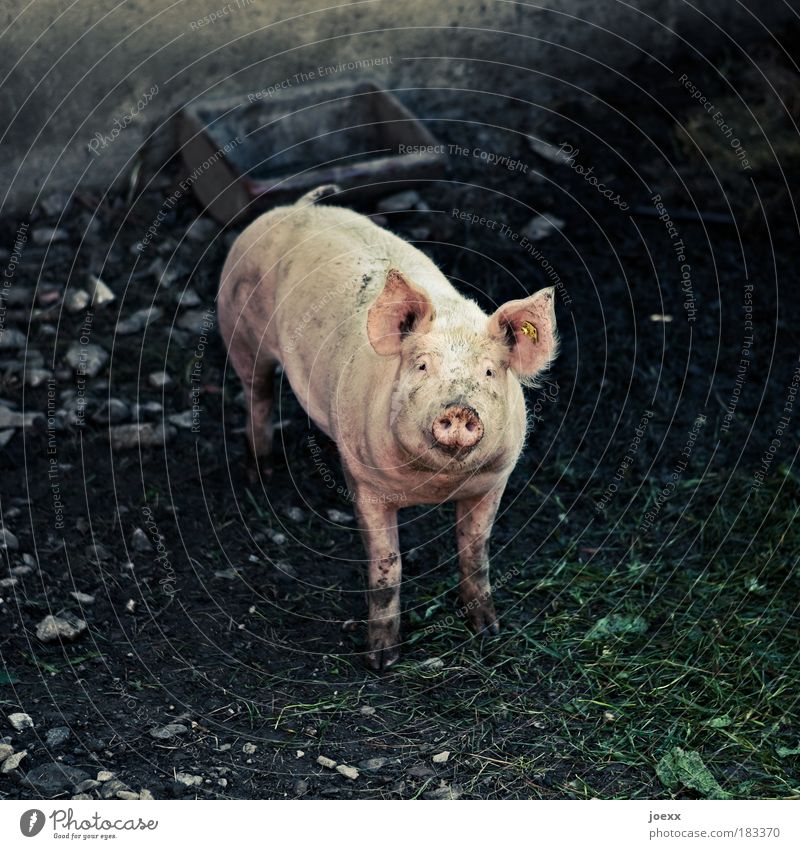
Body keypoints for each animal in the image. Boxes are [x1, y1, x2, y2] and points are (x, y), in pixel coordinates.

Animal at [216, 186, 560, 668]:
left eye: (490, 372)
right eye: (422, 366)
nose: (459, 410)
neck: (433, 488)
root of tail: (297, 208)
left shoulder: (495, 479)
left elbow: (475, 553)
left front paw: (488, 631)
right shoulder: (363, 480)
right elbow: (387, 566)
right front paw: (381, 661)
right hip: (239, 332)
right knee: (257, 396)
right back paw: (258, 472)